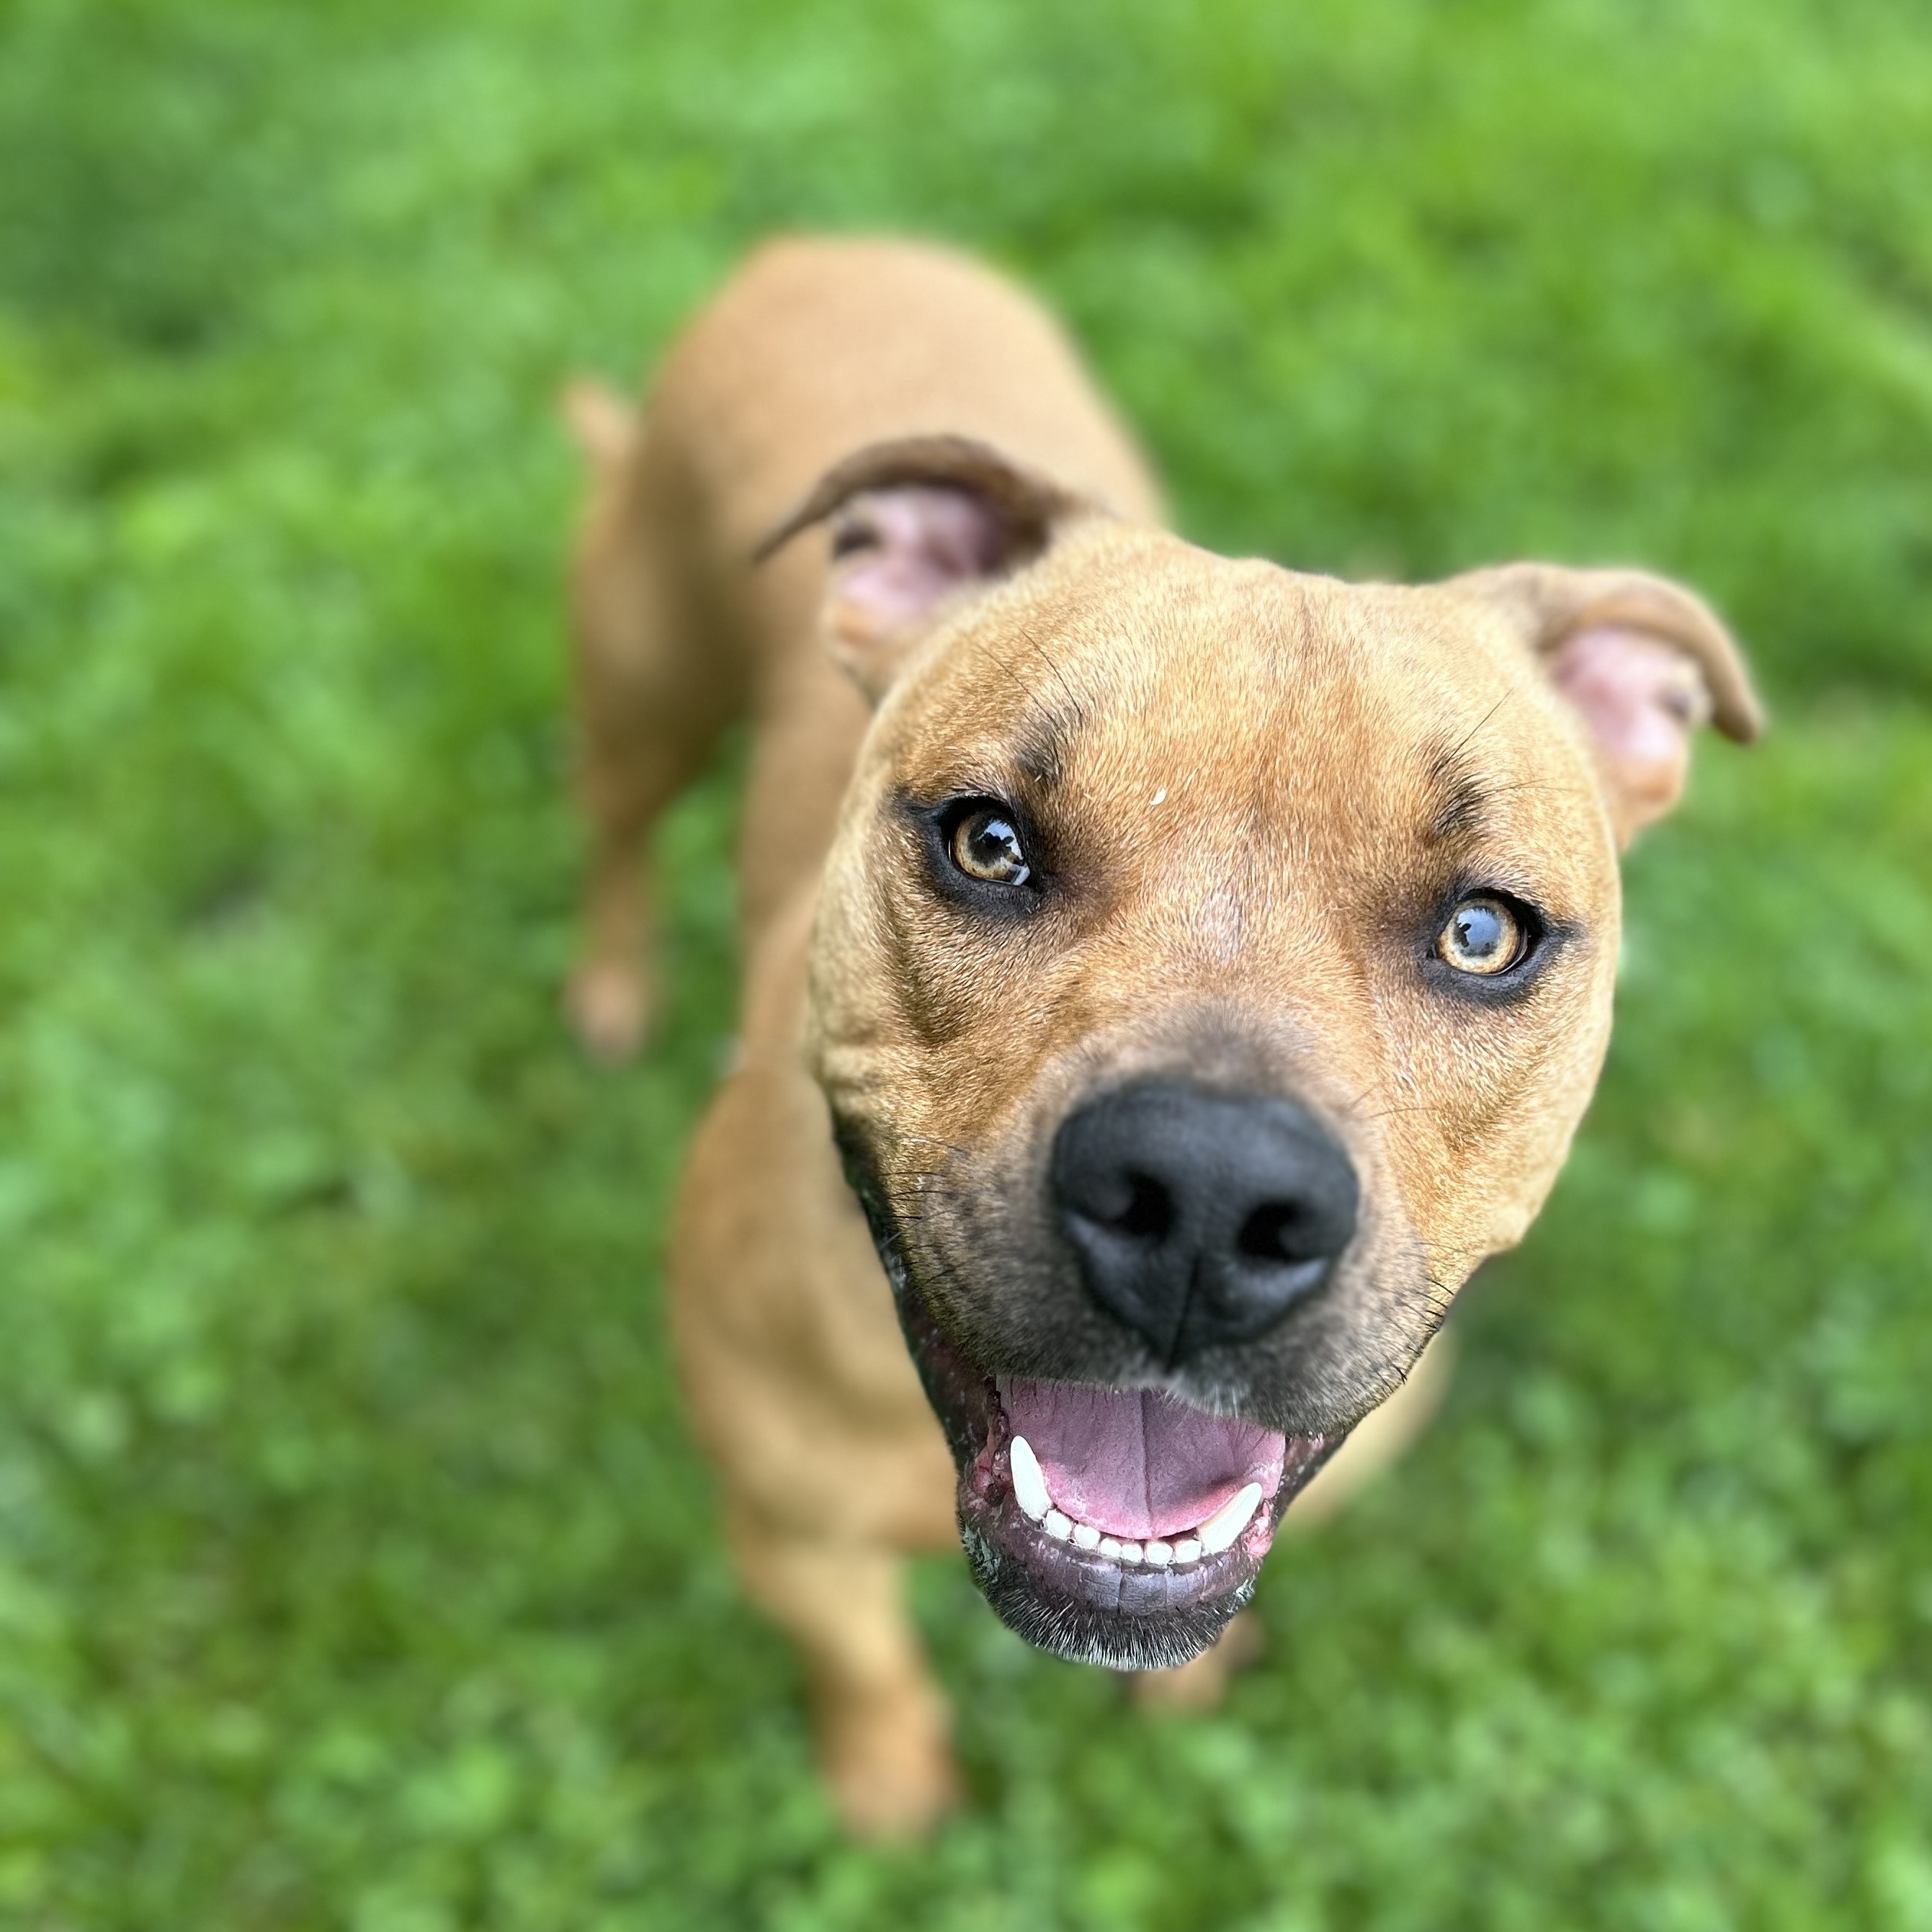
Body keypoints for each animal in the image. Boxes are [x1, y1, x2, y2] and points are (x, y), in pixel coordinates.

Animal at [561, 236, 1760, 1836]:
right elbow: (865, 1660)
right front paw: (888, 1783)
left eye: (1483, 934)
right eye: (988, 842)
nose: (1206, 1194)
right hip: (644, 684)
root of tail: (825, 244)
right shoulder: (785, 1528)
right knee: (616, 830)